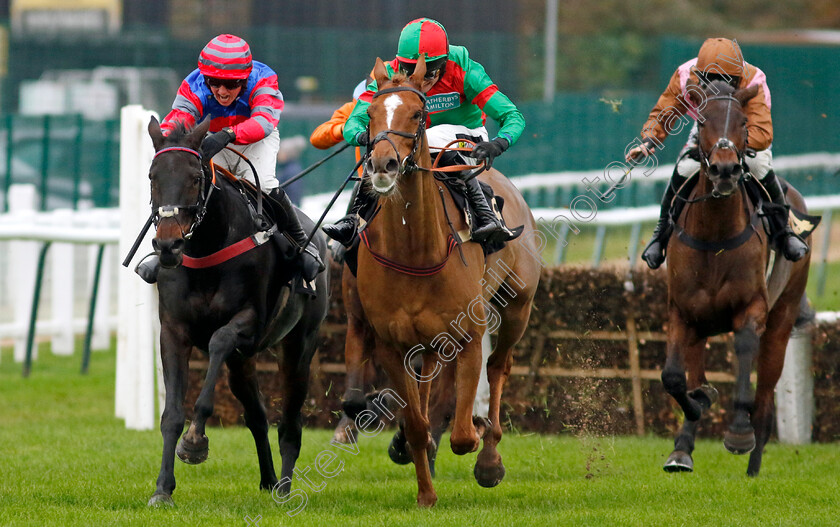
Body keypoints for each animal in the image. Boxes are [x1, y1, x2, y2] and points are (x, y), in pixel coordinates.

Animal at [144, 118, 328, 508]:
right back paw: (269, 479)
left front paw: (195, 441)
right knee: (257, 414)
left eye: (194, 177)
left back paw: (284, 487)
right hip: (242, 362)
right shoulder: (173, 331)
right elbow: (172, 414)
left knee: (290, 421)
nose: (168, 245)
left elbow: (219, 340)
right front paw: (162, 489)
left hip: (299, 346)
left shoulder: (250, 324)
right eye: (153, 176)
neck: (206, 249)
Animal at [344, 57, 540, 508]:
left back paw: (490, 458)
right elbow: (417, 424)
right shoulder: (391, 343)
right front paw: (425, 495)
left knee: (498, 365)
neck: (416, 250)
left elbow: (464, 435)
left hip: (516, 307)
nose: (383, 165)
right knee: (430, 378)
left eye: (418, 114)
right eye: (371, 113)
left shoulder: (468, 334)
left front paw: (482, 447)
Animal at [664, 79, 812, 478]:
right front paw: (699, 404)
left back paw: (753, 465)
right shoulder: (683, 313)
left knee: (765, 399)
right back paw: (683, 449)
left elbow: (745, 351)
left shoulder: (752, 308)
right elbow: (675, 378)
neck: (714, 235)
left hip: (782, 319)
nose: (726, 169)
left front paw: (739, 433)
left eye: (744, 121)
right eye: (701, 123)